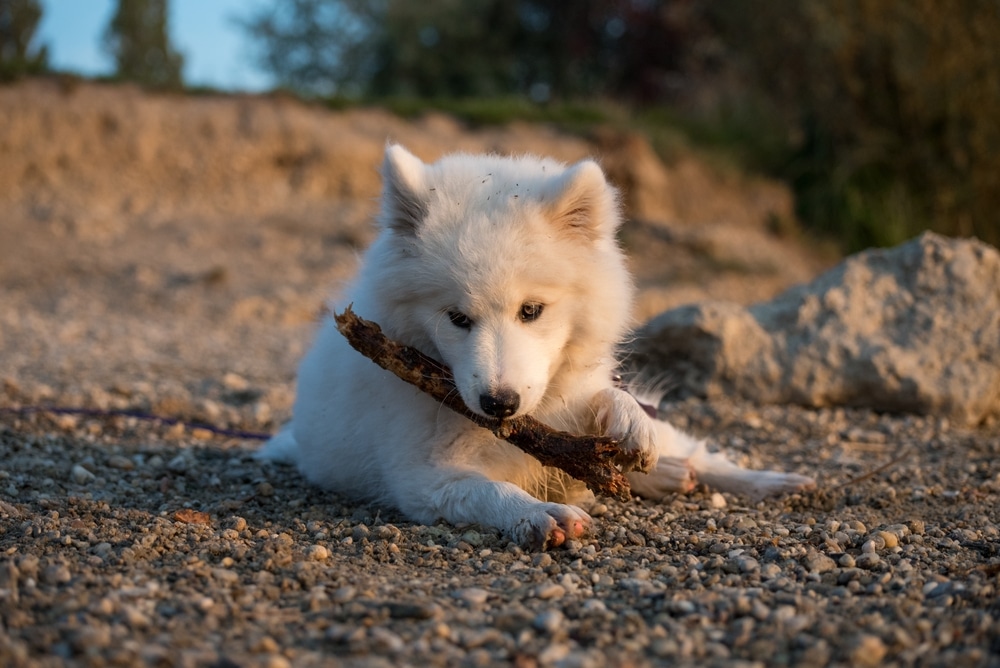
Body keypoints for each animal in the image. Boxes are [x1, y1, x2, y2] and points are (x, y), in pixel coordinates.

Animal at [262, 145, 816, 548]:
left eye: (531, 311)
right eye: (457, 318)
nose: (499, 403)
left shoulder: (565, 401)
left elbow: (600, 397)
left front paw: (626, 416)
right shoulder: (424, 476)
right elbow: (489, 489)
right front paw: (537, 513)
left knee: (702, 453)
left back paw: (768, 480)